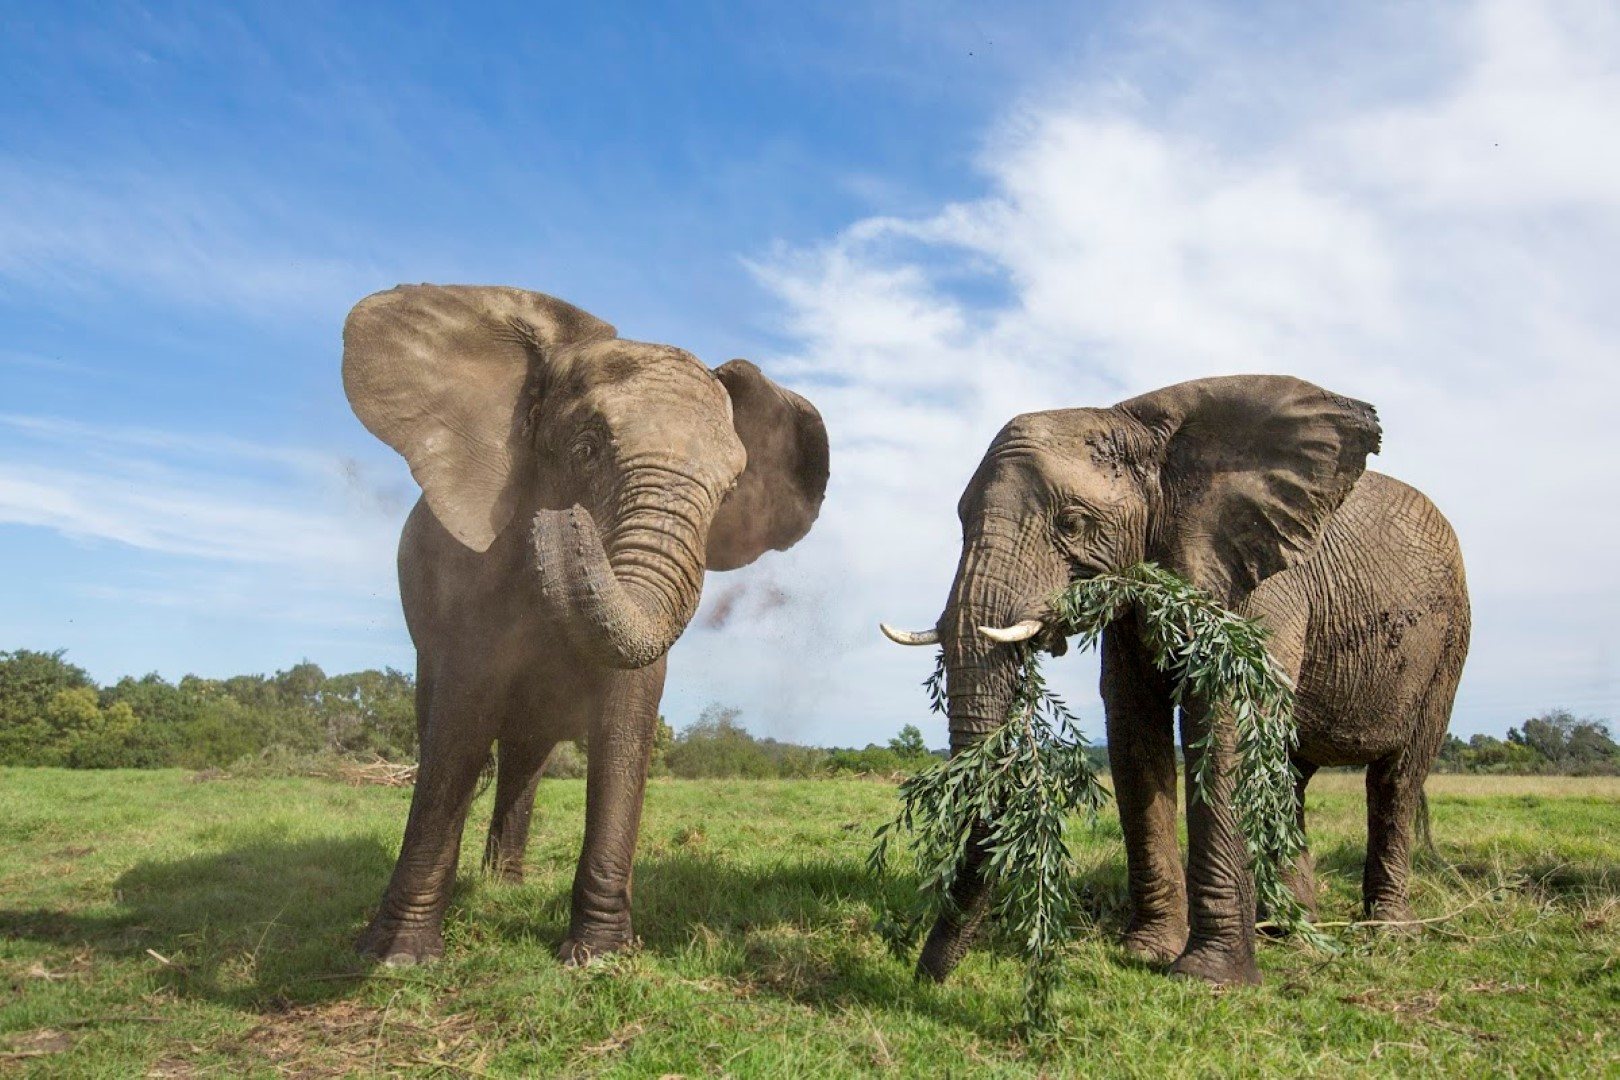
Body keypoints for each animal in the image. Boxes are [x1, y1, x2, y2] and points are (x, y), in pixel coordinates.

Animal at [342, 284, 828, 965]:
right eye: (586, 449)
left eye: (731, 487)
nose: (562, 520)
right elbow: (460, 722)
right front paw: (397, 959)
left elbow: (627, 720)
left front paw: (598, 958)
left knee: (526, 756)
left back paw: (505, 885)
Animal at [881, 375, 1469, 986]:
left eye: (1071, 524)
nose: (921, 976)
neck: (1140, 425)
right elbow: (1134, 728)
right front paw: (1148, 953)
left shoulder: (1260, 580)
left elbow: (1227, 715)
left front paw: (1208, 978)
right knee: (1291, 774)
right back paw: (1287, 927)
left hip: (1449, 644)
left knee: (1397, 779)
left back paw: (1388, 932)